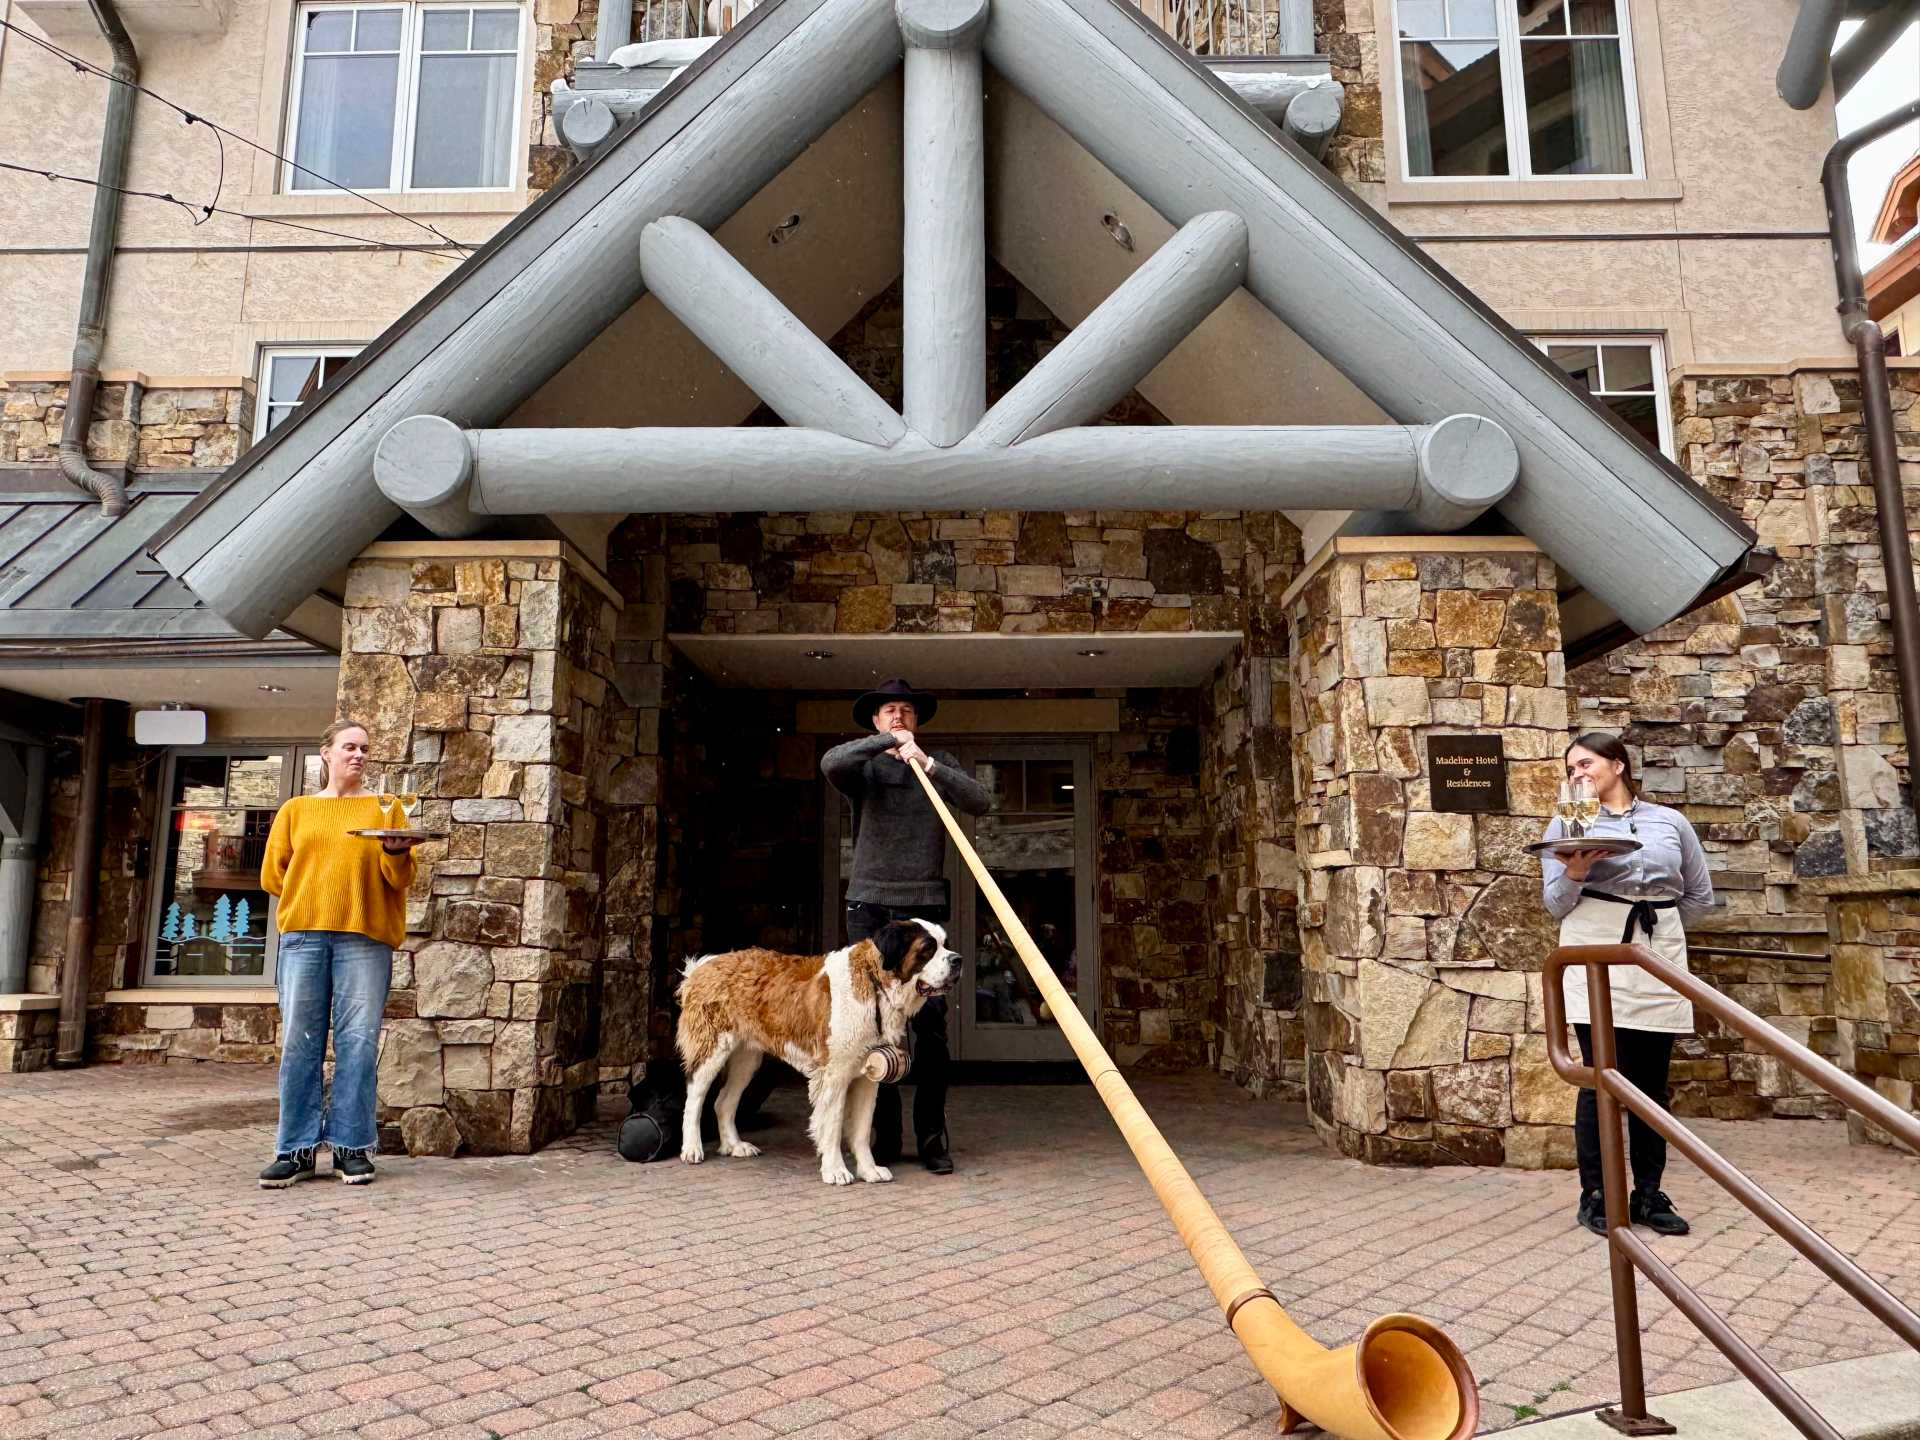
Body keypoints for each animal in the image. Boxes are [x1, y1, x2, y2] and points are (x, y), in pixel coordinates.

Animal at [675, 925, 960, 1182]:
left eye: (946, 943)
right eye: (927, 949)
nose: (958, 960)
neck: (874, 983)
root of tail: (702, 966)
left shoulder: (868, 1076)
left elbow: (862, 1129)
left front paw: (869, 1170)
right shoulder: (834, 1075)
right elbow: (832, 1124)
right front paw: (835, 1170)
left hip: (747, 1059)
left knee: (723, 1101)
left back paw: (735, 1146)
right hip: (712, 1049)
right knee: (694, 1097)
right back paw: (692, 1148)